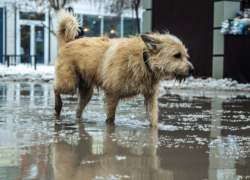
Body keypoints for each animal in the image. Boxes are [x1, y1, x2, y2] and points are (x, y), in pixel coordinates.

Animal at [53, 10, 193, 128]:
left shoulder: (150, 96)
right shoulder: (112, 95)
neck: (143, 61)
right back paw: (58, 107)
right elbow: (110, 118)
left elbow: (153, 119)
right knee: (55, 88)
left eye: (185, 55)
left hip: (86, 92)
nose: (192, 69)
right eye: (177, 55)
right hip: (68, 83)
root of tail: (68, 41)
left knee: (78, 110)